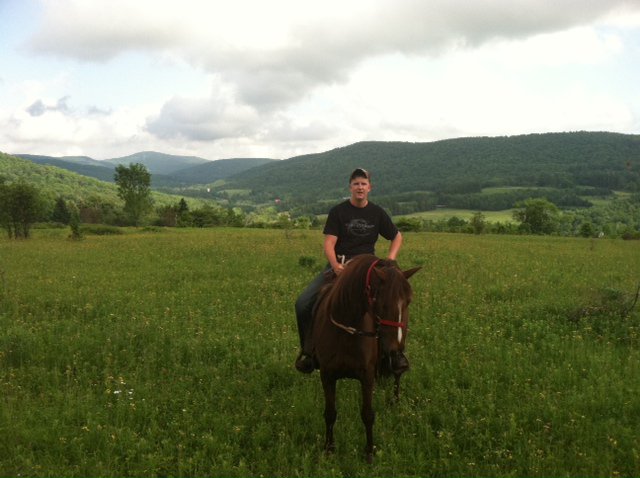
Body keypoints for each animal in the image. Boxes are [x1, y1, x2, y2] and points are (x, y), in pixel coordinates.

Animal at [310, 254, 420, 464]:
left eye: (408, 301)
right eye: (381, 302)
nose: (394, 350)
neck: (347, 330)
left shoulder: (367, 376)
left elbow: (368, 414)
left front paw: (369, 452)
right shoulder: (327, 375)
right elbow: (330, 413)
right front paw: (329, 449)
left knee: (397, 377)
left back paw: (395, 400)